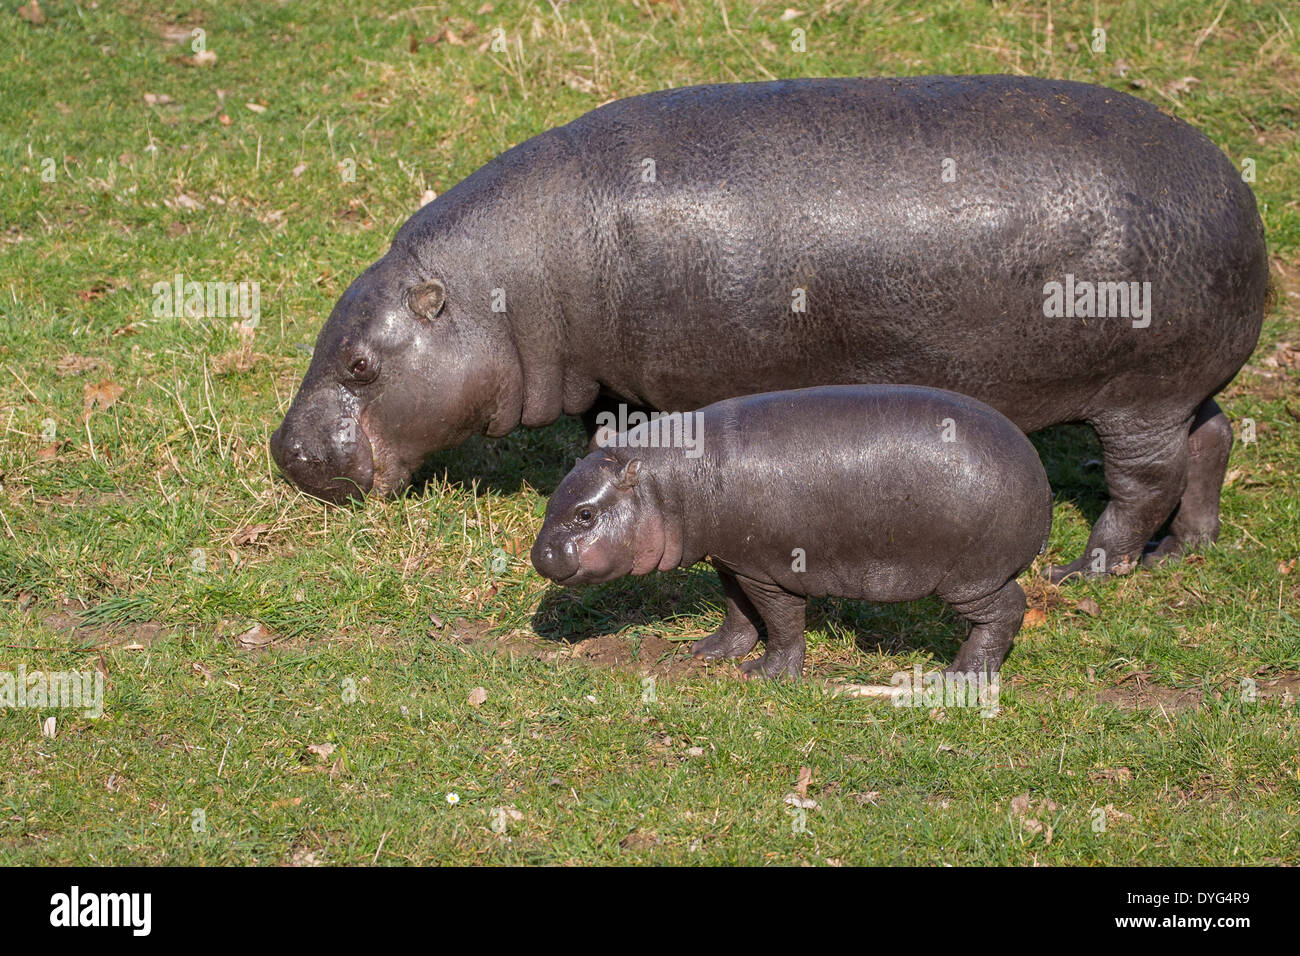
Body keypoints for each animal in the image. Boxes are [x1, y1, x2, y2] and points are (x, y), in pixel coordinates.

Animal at [269, 74, 1263, 582]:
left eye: (358, 365)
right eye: (325, 341)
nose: (286, 450)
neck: (519, 283)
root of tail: (1238, 194)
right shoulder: (621, 380)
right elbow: (608, 430)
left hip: (1138, 393)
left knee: (1143, 480)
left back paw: (1092, 567)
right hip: (1181, 385)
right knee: (1208, 442)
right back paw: (1190, 546)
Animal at [533, 382, 1050, 681]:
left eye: (585, 515)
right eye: (553, 499)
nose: (542, 555)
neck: (671, 482)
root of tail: (1040, 476)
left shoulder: (769, 570)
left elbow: (781, 622)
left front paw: (764, 675)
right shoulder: (731, 560)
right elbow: (736, 610)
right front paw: (708, 653)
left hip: (971, 577)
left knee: (1006, 610)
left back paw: (958, 678)